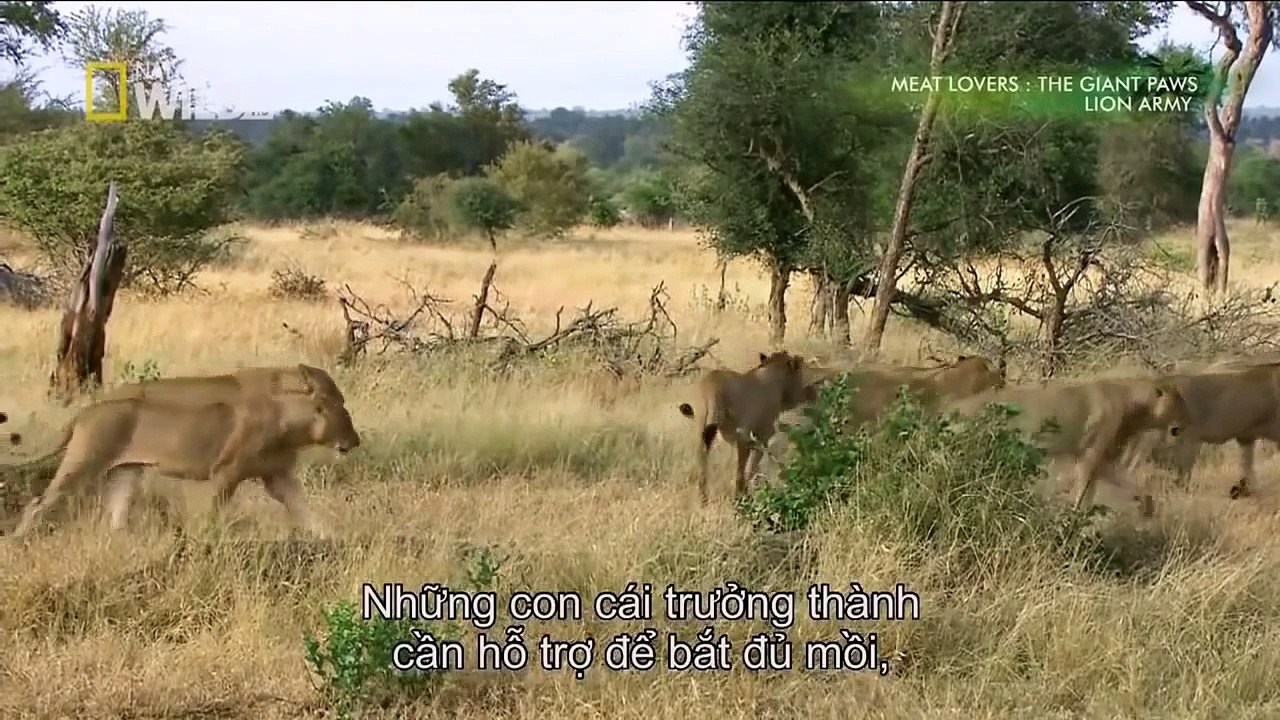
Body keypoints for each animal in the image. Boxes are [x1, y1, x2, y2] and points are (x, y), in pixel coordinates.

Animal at [9, 373, 361, 540]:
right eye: (342, 411)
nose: (355, 441)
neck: (290, 419)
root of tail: (87, 410)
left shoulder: (278, 476)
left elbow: (306, 512)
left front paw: (333, 538)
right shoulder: (225, 473)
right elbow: (209, 516)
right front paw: (201, 545)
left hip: (126, 471)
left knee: (117, 514)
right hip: (85, 461)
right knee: (37, 504)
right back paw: (16, 540)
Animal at [676, 350, 821, 504]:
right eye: (800, 373)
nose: (813, 393)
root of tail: (711, 383)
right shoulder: (761, 435)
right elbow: (751, 467)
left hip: (703, 433)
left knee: (702, 466)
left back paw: (703, 499)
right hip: (738, 435)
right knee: (739, 470)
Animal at [944, 376, 1189, 517]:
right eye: (1180, 403)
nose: (1187, 421)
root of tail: (952, 408)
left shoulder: (1103, 462)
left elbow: (1133, 486)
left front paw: (1148, 507)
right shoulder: (1089, 459)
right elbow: (1082, 496)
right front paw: (1073, 522)